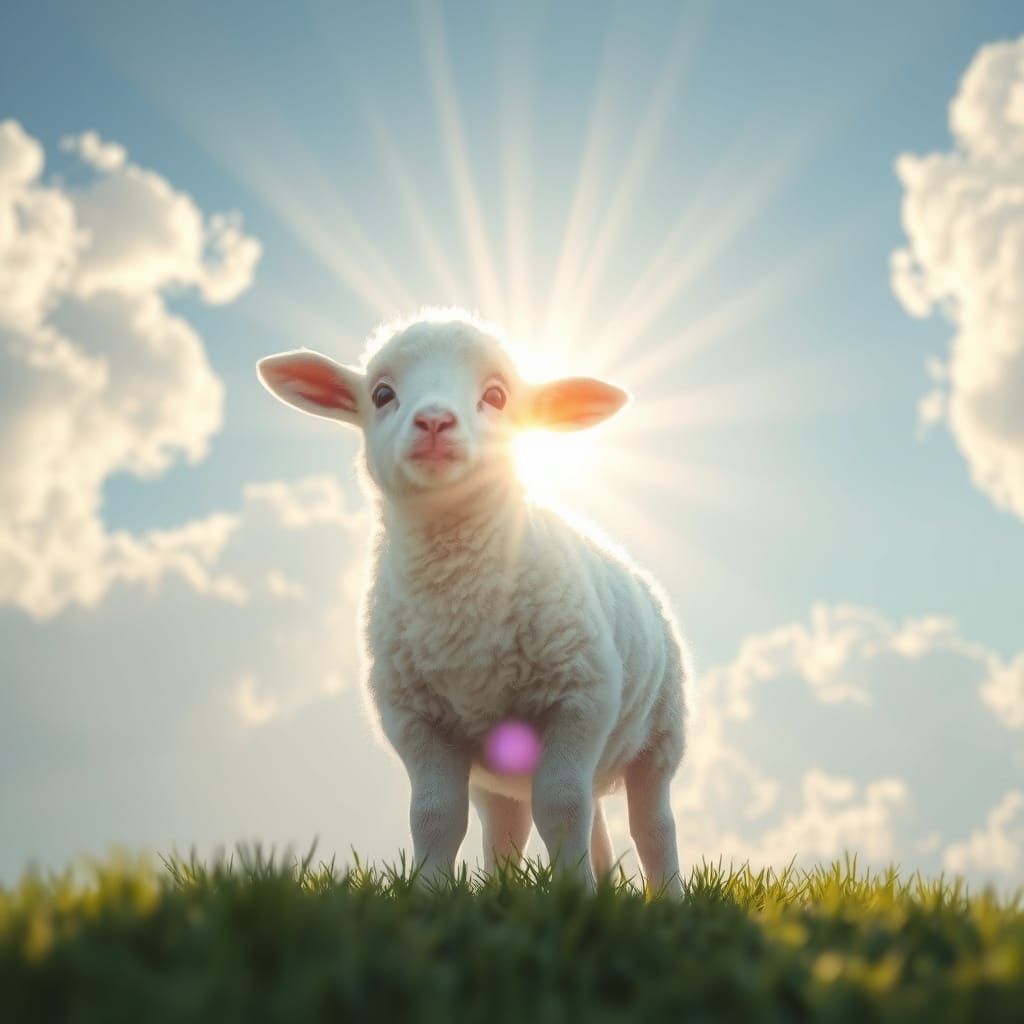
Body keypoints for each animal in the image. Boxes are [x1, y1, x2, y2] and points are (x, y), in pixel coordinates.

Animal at [257, 311, 689, 893]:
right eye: (382, 393)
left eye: (497, 395)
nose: (435, 421)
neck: (464, 618)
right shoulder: (415, 719)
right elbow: (434, 816)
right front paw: (429, 895)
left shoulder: (580, 700)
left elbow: (563, 807)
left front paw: (574, 895)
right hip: (499, 769)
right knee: (511, 828)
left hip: (660, 737)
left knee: (651, 824)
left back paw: (667, 895)